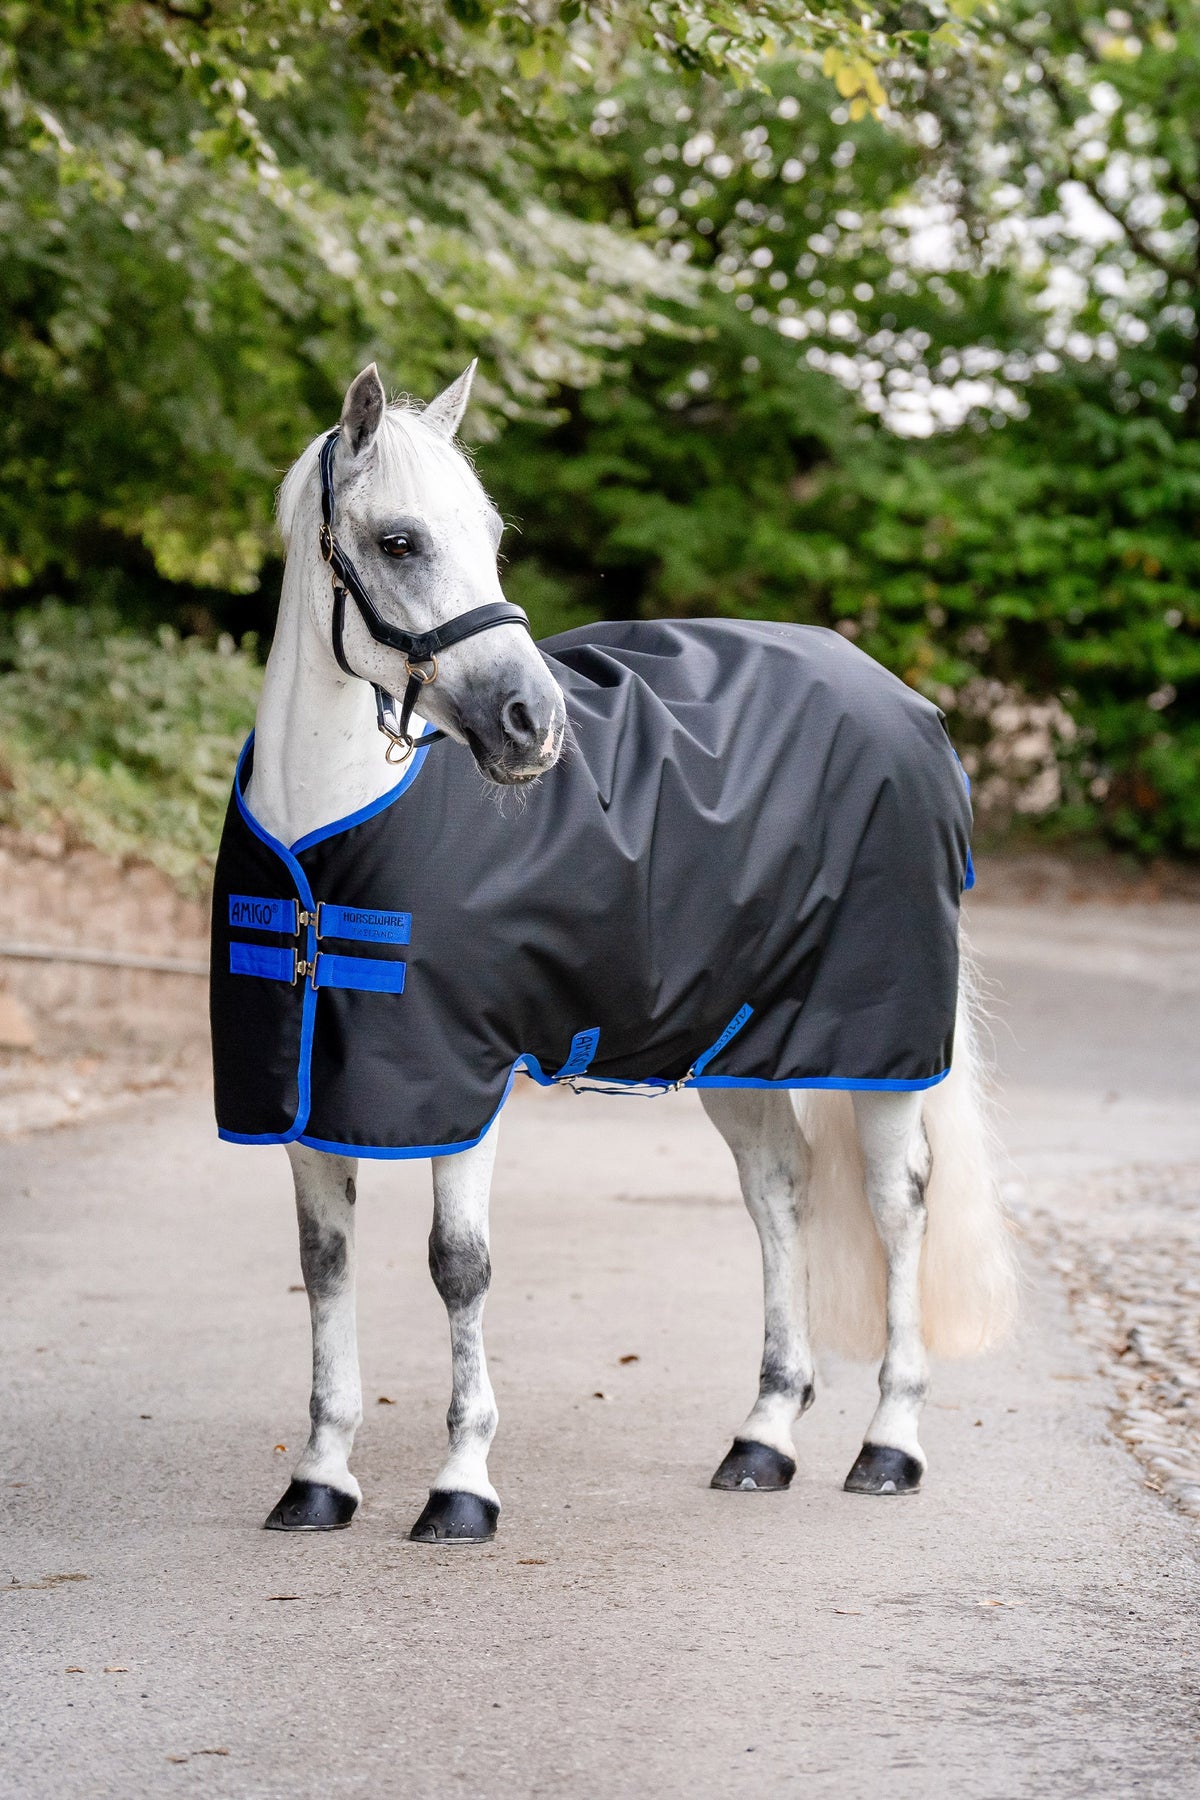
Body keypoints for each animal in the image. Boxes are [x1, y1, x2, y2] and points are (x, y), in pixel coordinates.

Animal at [217, 361, 1017, 1543]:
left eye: (492, 533)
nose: (532, 724)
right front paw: (319, 1477)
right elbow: (325, 1267)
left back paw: (889, 1444)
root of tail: (908, 704)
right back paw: (763, 1439)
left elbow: (459, 1267)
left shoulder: (466, 1082)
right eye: (400, 540)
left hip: (880, 1045)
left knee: (896, 1202)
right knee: (779, 1192)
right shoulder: (309, 1093)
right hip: (739, 1047)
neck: (327, 839)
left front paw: (461, 1487)